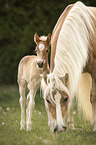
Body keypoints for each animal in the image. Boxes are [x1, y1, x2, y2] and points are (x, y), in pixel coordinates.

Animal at [41, 1, 96, 133]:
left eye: (65, 99)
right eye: (47, 100)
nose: (59, 128)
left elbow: (93, 97)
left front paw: (94, 126)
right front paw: (71, 126)